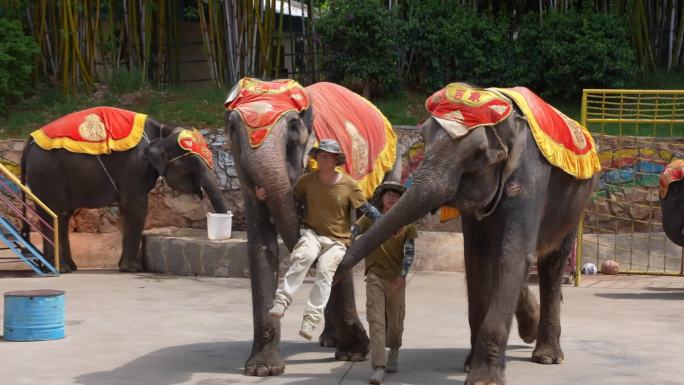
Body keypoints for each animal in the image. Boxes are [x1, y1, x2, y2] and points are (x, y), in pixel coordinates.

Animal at [21, 106, 227, 272]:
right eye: (192, 162)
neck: (163, 129)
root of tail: (29, 140)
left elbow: (125, 208)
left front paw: (125, 266)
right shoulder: (135, 165)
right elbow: (136, 206)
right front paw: (134, 269)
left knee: (61, 216)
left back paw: (66, 268)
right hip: (47, 174)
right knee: (56, 213)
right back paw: (60, 269)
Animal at [223, 77, 400, 376]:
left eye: (294, 127)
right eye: (233, 128)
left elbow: (344, 237)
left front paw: (354, 353)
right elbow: (261, 245)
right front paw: (262, 370)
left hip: (390, 161)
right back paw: (329, 339)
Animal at [336, 84, 600, 384]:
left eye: (478, 154)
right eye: (423, 139)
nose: (335, 272)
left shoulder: (530, 177)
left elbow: (514, 256)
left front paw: (483, 379)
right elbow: (477, 260)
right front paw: (469, 365)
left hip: (576, 205)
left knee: (551, 265)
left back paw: (547, 356)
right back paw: (530, 333)